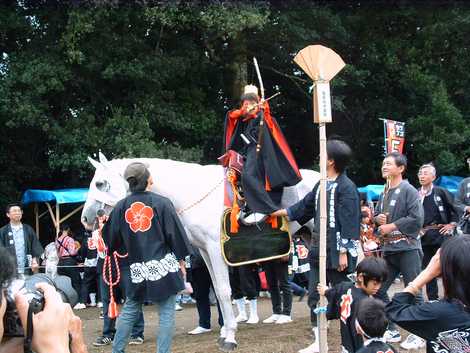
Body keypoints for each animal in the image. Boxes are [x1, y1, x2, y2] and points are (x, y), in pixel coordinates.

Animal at [81, 153, 320, 350]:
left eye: (100, 184)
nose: (85, 219)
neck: (192, 191)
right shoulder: (205, 251)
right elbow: (217, 289)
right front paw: (225, 332)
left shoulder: (216, 249)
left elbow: (223, 291)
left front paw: (230, 337)